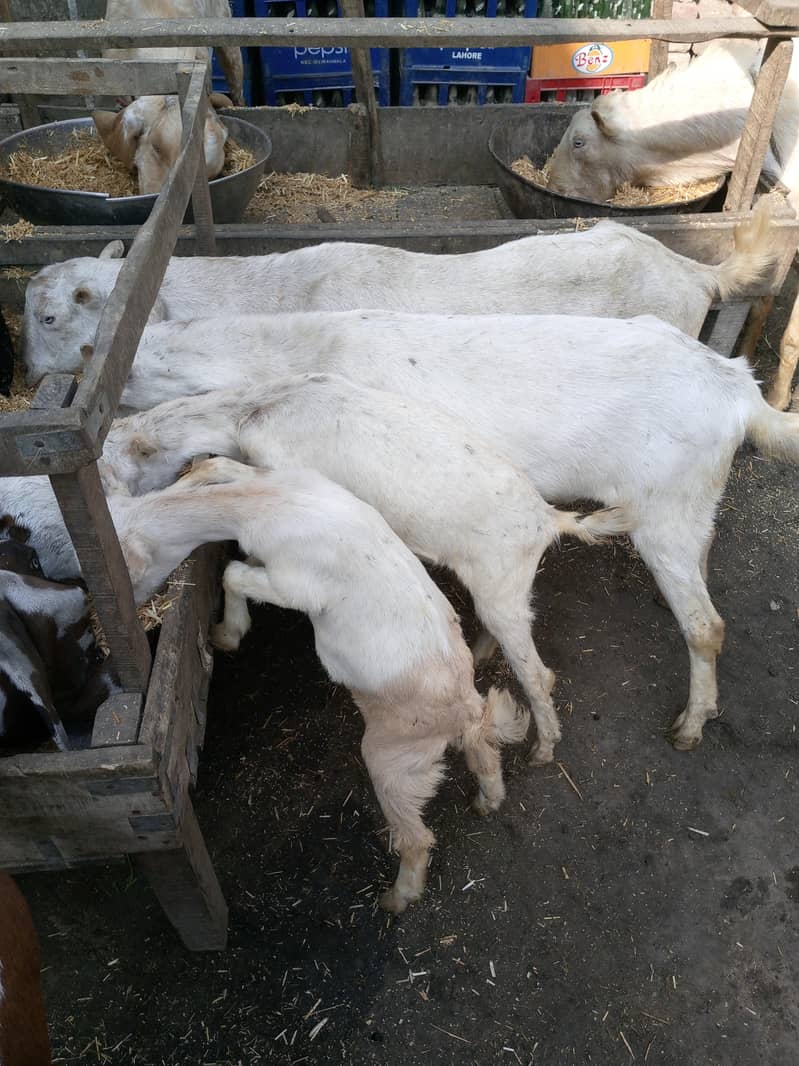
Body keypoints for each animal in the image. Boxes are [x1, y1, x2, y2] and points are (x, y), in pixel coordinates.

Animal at [109, 460, 529, 912]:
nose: (135, 612)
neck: (269, 501)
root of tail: (462, 709)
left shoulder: (293, 584)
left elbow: (233, 572)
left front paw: (227, 633)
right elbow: (219, 470)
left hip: (392, 759)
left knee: (417, 837)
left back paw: (396, 898)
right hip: (453, 738)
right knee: (485, 755)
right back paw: (487, 801)